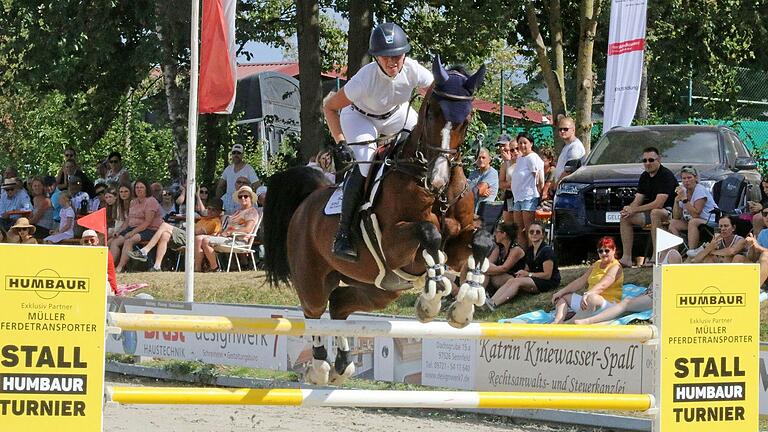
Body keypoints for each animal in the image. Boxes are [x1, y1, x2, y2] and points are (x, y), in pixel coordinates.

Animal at [262, 56, 492, 384]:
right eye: (432, 113)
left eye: (467, 119)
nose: (438, 179)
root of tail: (311, 198)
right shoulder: (395, 247)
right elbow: (429, 233)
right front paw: (431, 300)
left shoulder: (459, 241)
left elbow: (481, 241)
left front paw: (465, 303)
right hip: (313, 278)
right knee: (314, 312)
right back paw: (319, 368)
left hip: (379, 289)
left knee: (339, 304)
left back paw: (342, 366)